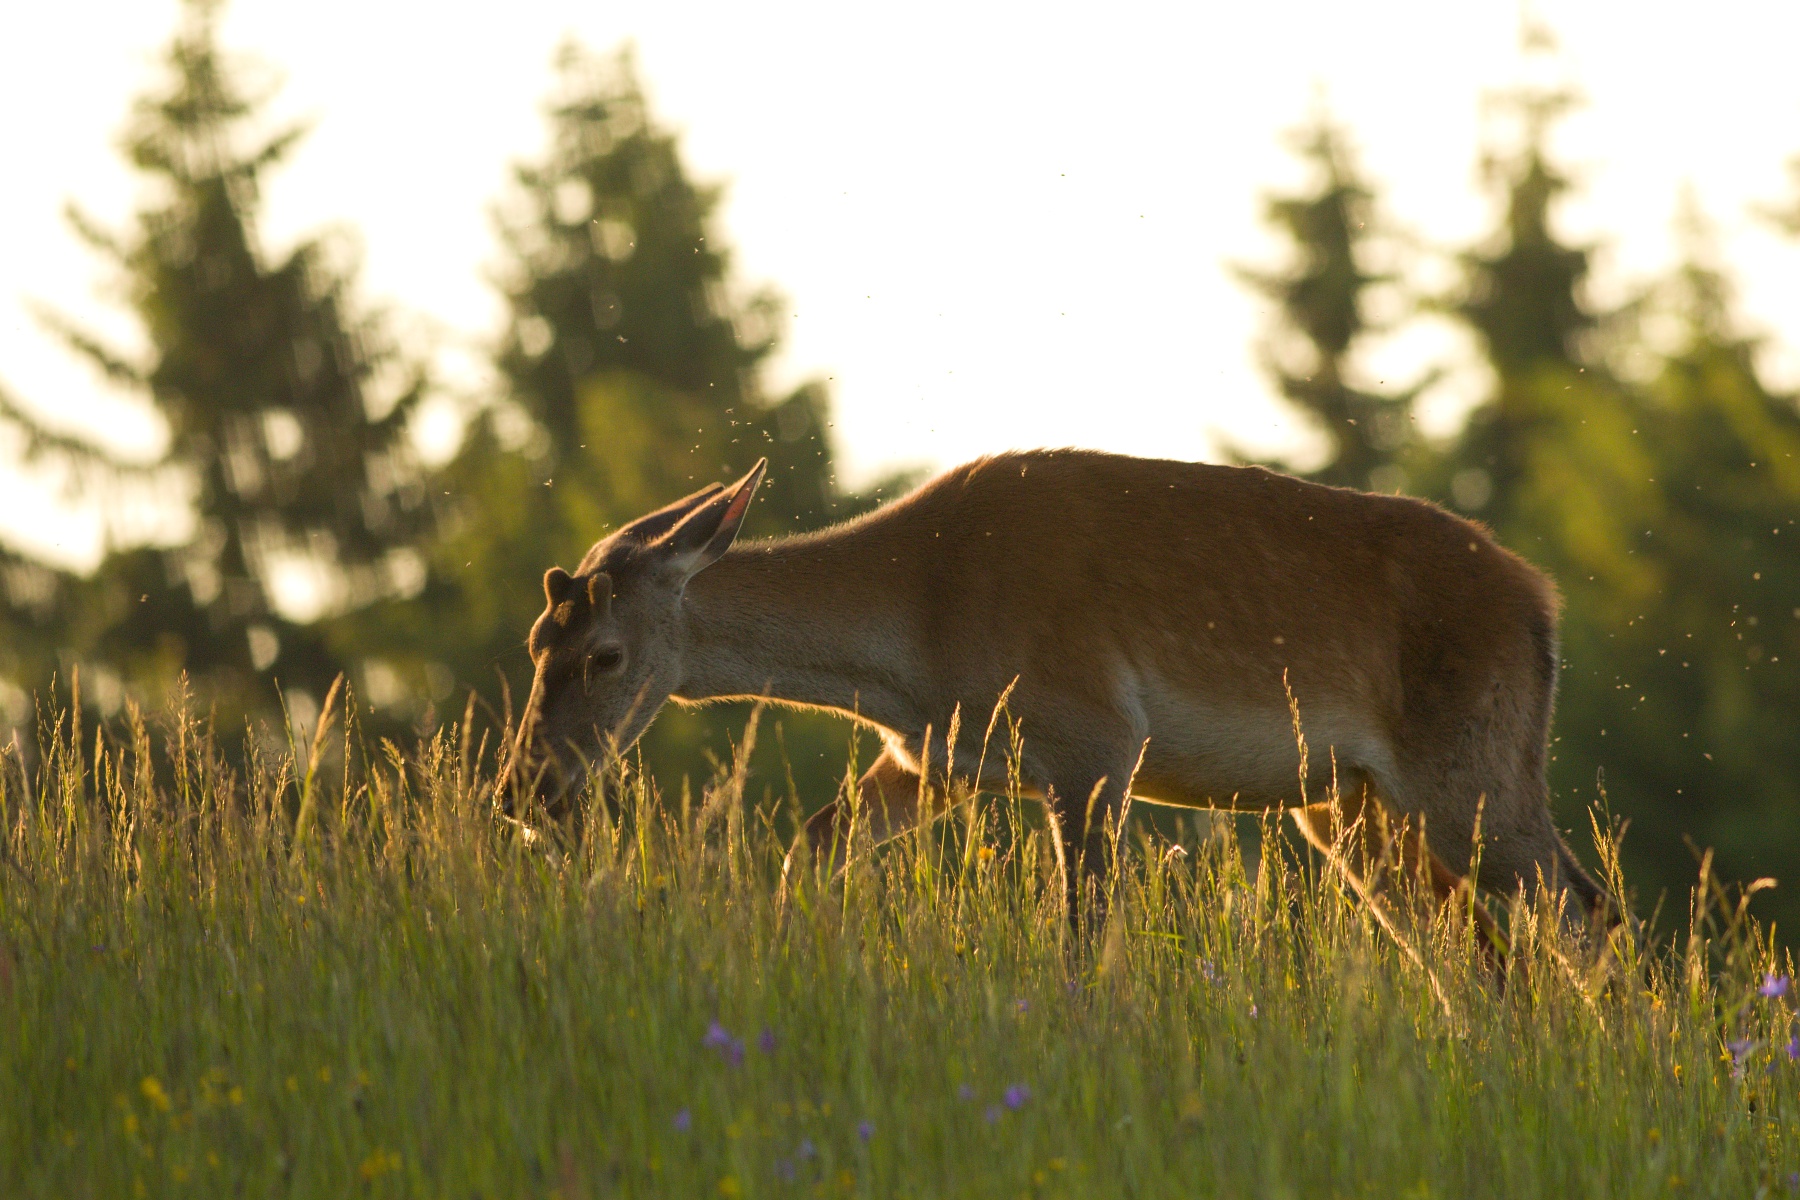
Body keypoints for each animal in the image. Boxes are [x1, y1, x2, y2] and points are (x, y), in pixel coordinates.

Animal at [504, 449, 1605, 935]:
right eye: (533, 641)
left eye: (604, 654)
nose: (522, 788)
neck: (914, 640)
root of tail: (1543, 604)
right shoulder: (938, 758)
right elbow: (812, 845)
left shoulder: (1094, 737)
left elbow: (1081, 923)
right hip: (1349, 807)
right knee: (1465, 932)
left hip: (1466, 760)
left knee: (1579, 902)